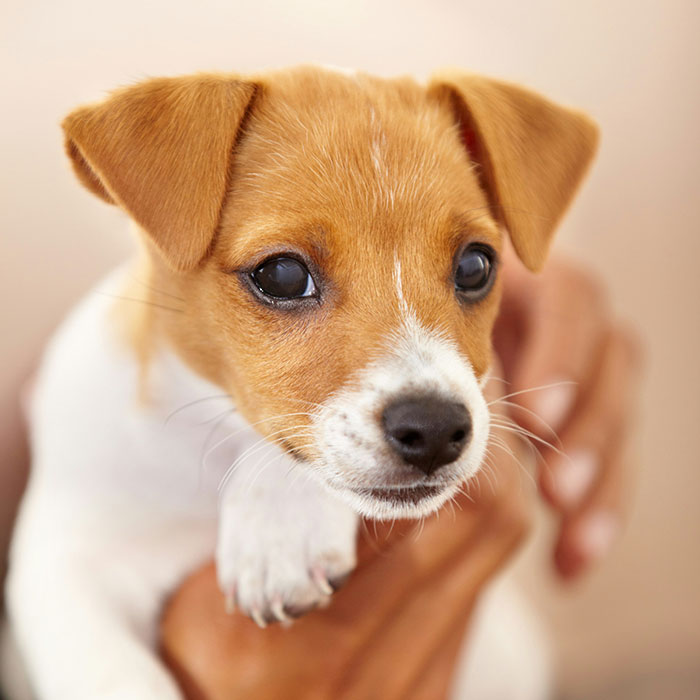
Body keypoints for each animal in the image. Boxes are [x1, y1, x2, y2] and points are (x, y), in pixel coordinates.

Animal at [4, 67, 596, 700]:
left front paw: (278, 529)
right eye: (283, 275)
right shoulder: (67, 561)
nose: (436, 429)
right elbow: (113, 675)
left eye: (475, 266)